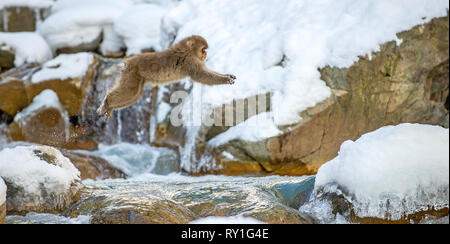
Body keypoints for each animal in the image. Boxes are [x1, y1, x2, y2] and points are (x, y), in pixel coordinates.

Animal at [97, 34, 237, 122]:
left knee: (134, 95)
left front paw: (227, 75)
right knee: (130, 92)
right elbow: (202, 76)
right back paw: (107, 102)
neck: (188, 50)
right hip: (132, 74)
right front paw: (225, 80)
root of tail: (129, 61)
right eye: (203, 49)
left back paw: (110, 108)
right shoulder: (191, 62)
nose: (205, 54)